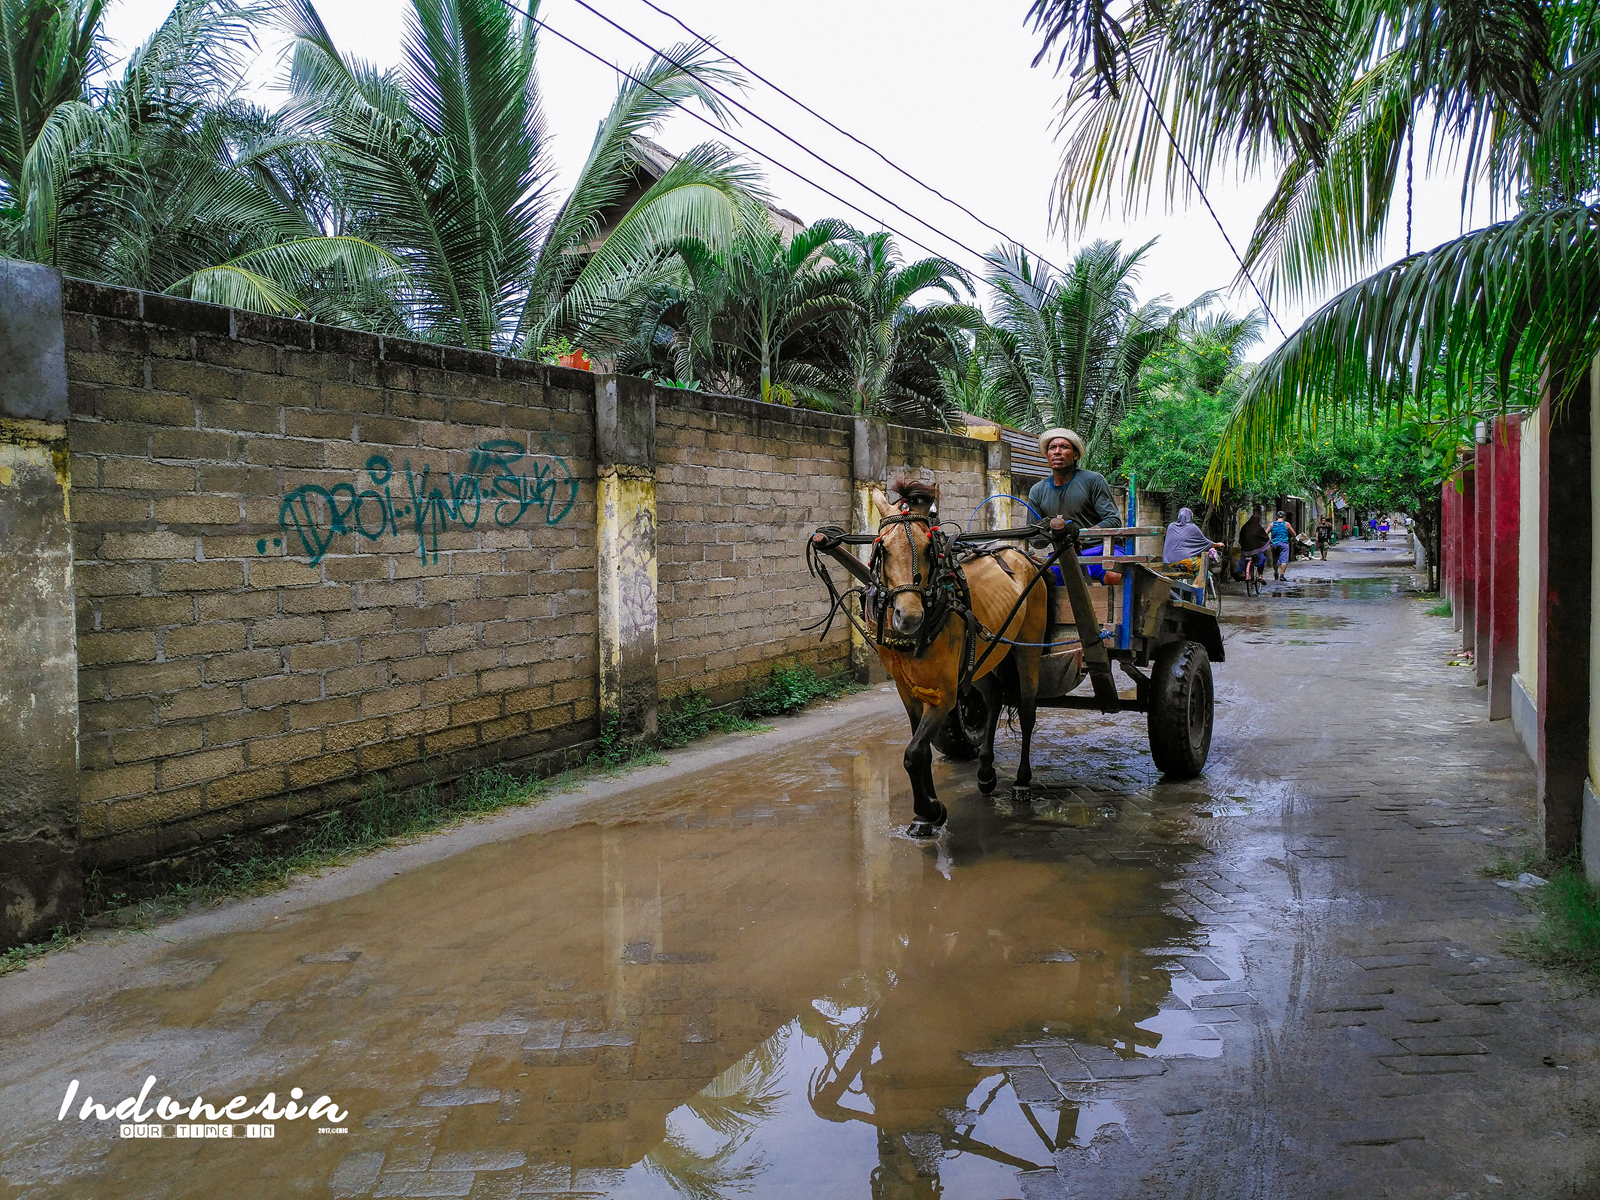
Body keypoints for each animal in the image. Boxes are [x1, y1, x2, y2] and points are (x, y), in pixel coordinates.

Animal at [864, 476, 1049, 838]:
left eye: (928, 549)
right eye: (884, 549)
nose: (909, 617)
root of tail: (1019, 552)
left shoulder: (945, 694)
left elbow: (914, 751)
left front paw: (930, 811)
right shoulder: (906, 690)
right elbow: (919, 750)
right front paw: (925, 814)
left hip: (1026, 646)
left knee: (1027, 711)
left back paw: (1022, 782)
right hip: (983, 658)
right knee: (993, 699)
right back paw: (986, 772)